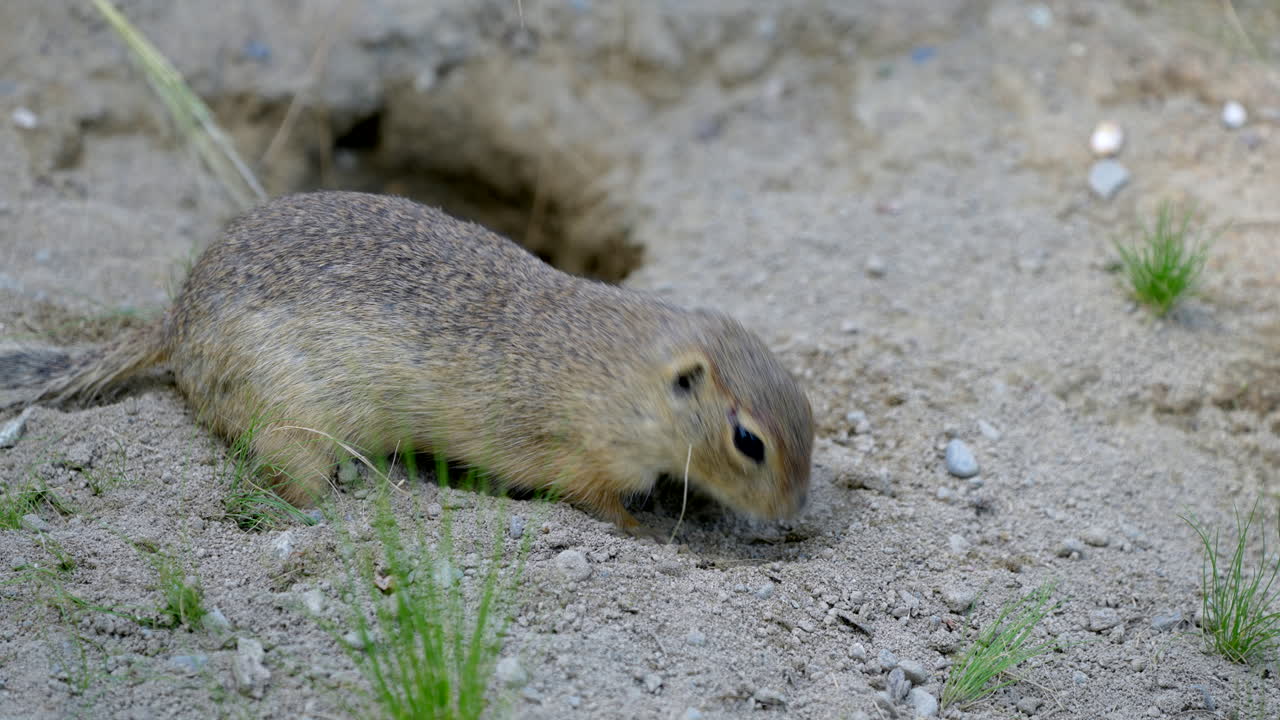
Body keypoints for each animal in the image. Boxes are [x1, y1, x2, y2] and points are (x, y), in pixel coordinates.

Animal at [2, 191, 814, 533]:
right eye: (749, 441)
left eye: (809, 411)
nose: (796, 512)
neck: (623, 374)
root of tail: (177, 318)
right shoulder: (577, 454)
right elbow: (598, 501)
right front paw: (650, 529)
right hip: (293, 421)